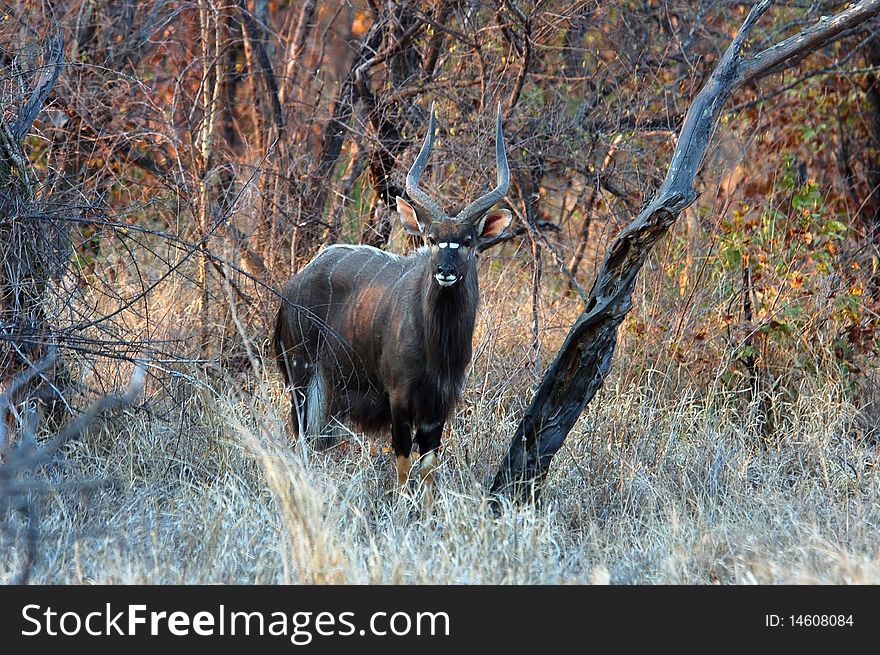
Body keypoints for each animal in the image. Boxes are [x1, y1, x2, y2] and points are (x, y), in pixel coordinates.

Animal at [272, 105, 512, 500]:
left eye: (467, 242)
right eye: (431, 239)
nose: (445, 271)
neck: (437, 348)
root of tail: (291, 288)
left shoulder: (437, 409)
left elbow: (428, 468)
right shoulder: (399, 399)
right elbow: (402, 464)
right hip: (301, 379)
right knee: (302, 440)